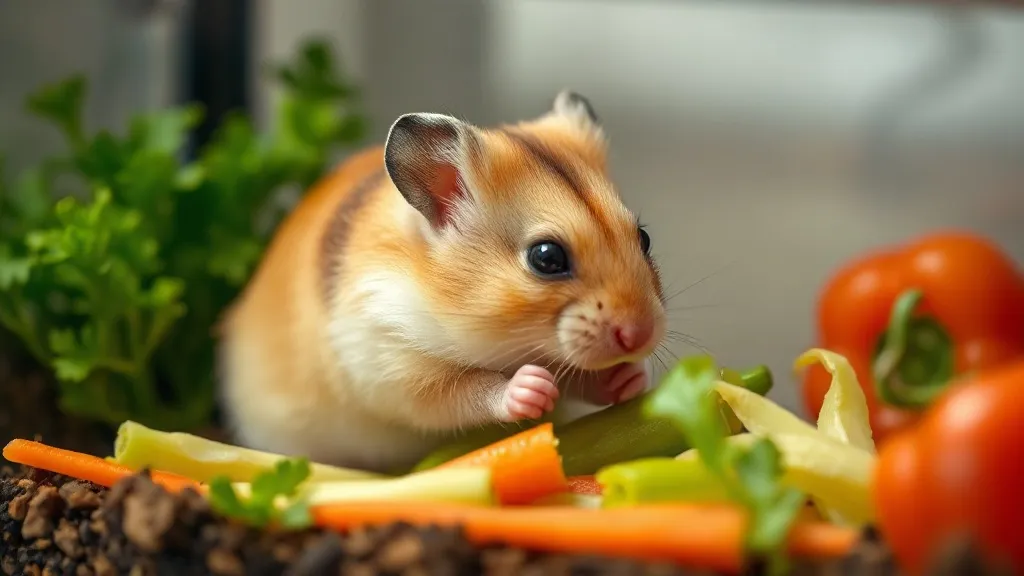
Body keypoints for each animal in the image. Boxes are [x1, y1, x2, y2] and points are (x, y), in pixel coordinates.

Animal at [217, 91, 667, 473]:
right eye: (546, 257)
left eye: (644, 238)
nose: (642, 336)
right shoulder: (393, 366)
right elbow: (466, 390)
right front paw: (534, 387)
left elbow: (581, 377)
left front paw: (630, 380)